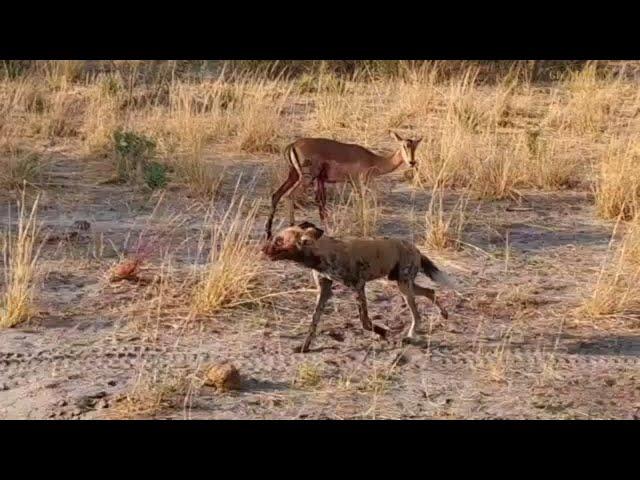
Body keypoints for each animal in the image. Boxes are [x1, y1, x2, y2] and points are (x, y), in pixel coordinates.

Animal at [262, 221, 452, 352]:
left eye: (278, 241)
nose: (262, 249)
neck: (321, 255)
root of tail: (415, 249)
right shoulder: (324, 291)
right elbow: (313, 322)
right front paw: (305, 347)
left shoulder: (358, 287)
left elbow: (365, 322)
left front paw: (384, 333)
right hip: (403, 283)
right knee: (430, 291)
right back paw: (443, 314)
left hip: (404, 286)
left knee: (417, 314)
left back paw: (410, 335)